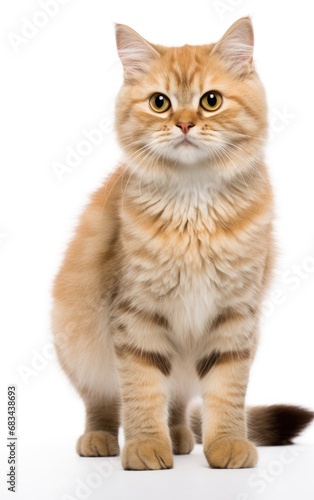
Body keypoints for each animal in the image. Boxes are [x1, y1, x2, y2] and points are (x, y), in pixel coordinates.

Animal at [51, 16, 312, 468]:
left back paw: (179, 437)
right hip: (79, 344)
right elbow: (140, 390)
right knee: (103, 401)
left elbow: (226, 390)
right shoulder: (137, 313)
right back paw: (102, 439)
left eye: (211, 101)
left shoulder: (234, 315)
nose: (185, 124)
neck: (194, 205)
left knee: (176, 402)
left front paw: (227, 443)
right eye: (160, 102)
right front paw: (143, 446)